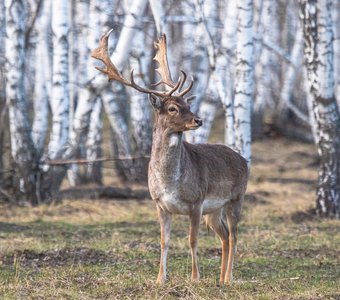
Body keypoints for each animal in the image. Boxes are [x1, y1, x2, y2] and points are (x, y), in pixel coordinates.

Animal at [91, 30, 248, 286]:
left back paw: (229, 278)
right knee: (224, 236)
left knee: (234, 236)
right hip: (214, 210)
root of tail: (244, 160)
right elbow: (164, 241)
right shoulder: (159, 204)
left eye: (187, 103)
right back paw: (221, 277)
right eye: (173, 107)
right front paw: (160, 279)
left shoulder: (196, 201)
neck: (170, 182)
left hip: (236, 198)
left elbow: (192, 240)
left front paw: (195, 277)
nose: (198, 120)